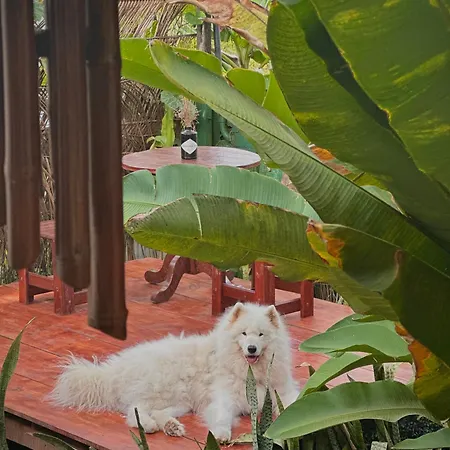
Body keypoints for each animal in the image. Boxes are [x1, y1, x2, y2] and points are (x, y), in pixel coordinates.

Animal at [50, 302, 299, 442]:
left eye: (261, 335)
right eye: (244, 333)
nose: (251, 348)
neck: (251, 373)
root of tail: (114, 371)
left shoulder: (281, 392)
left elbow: (293, 403)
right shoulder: (224, 398)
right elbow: (221, 416)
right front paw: (221, 435)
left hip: (181, 401)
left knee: (153, 411)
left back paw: (170, 427)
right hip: (165, 390)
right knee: (134, 410)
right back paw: (150, 426)